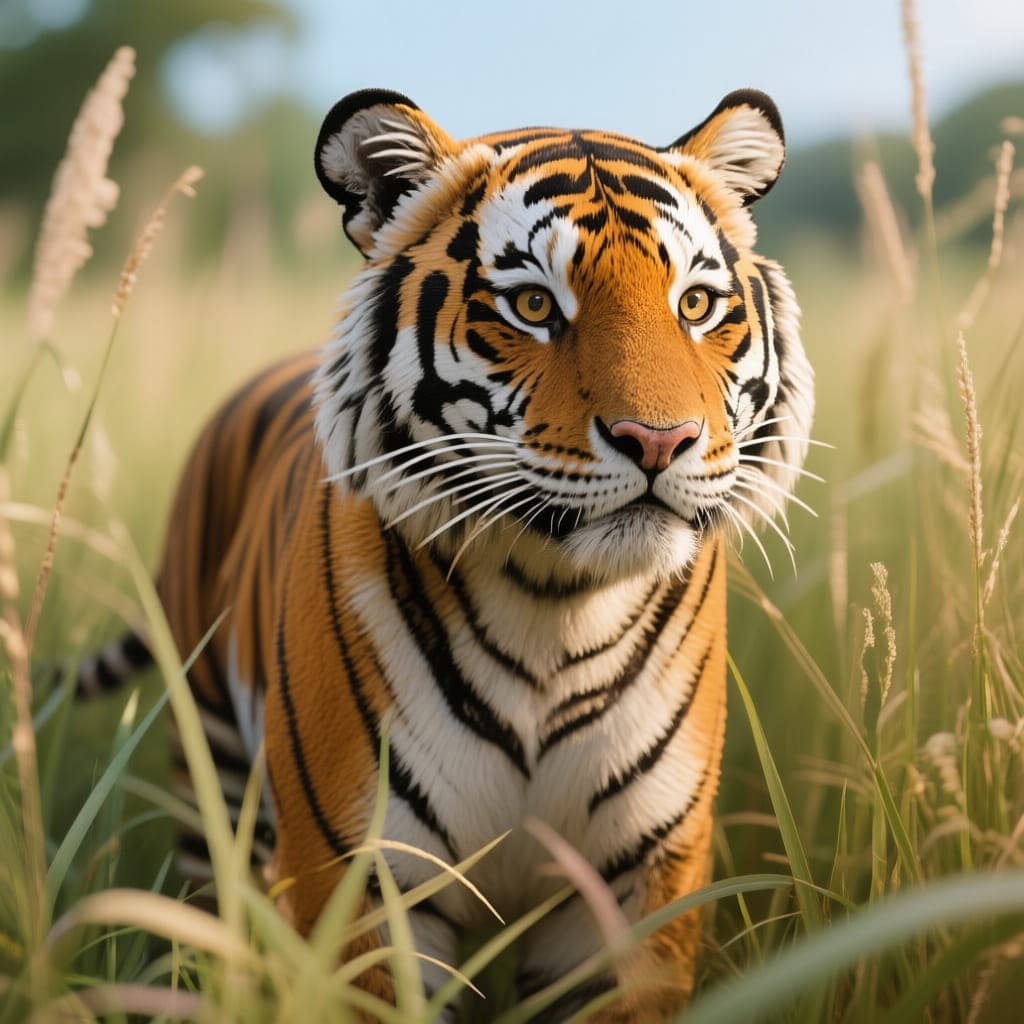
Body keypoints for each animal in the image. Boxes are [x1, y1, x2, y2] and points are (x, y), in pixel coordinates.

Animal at [79, 87, 813, 1020]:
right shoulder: (362, 879)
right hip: (209, 766)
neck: (555, 607)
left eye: (694, 305)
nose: (659, 440)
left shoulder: (637, 886)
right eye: (533, 306)